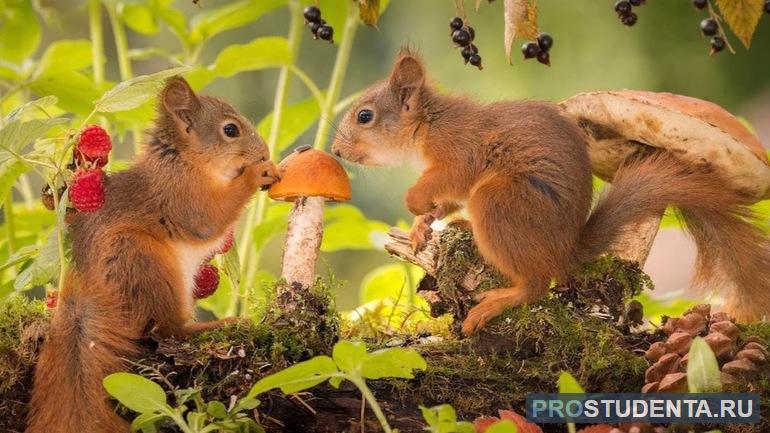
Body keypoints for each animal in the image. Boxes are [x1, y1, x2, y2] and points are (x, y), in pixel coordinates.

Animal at [25, 77, 280, 432]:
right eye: (230, 130)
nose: (265, 152)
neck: (184, 160)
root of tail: (85, 291)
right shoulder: (180, 196)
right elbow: (209, 219)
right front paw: (258, 173)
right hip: (144, 263)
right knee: (168, 330)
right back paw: (219, 325)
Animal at [330, 50, 768, 334]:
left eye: (365, 116)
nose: (335, 151)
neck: (428, 124)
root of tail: (566, 250)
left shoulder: (461, 152)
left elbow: (448, 181)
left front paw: (414, 201)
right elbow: (447, 200)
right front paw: (422, 225)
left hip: (498, 202)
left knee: (536, 285)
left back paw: (495, 302)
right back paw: (464, 228)